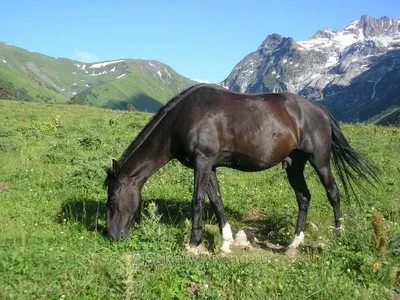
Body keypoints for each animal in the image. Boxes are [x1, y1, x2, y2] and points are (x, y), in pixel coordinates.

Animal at [104, 83, 378, 254]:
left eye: (113, 198)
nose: (113, 236)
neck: (184, 118)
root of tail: (320, 109)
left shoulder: (203, 162)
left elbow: (198, 201)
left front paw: (193, 243)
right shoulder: (209, 166)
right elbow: (217, 201)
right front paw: (225, 242)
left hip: (319, 160)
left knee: (333, 193)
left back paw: (339, 234)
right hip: (294, 165)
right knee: (304, 197)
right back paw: (293, 244)